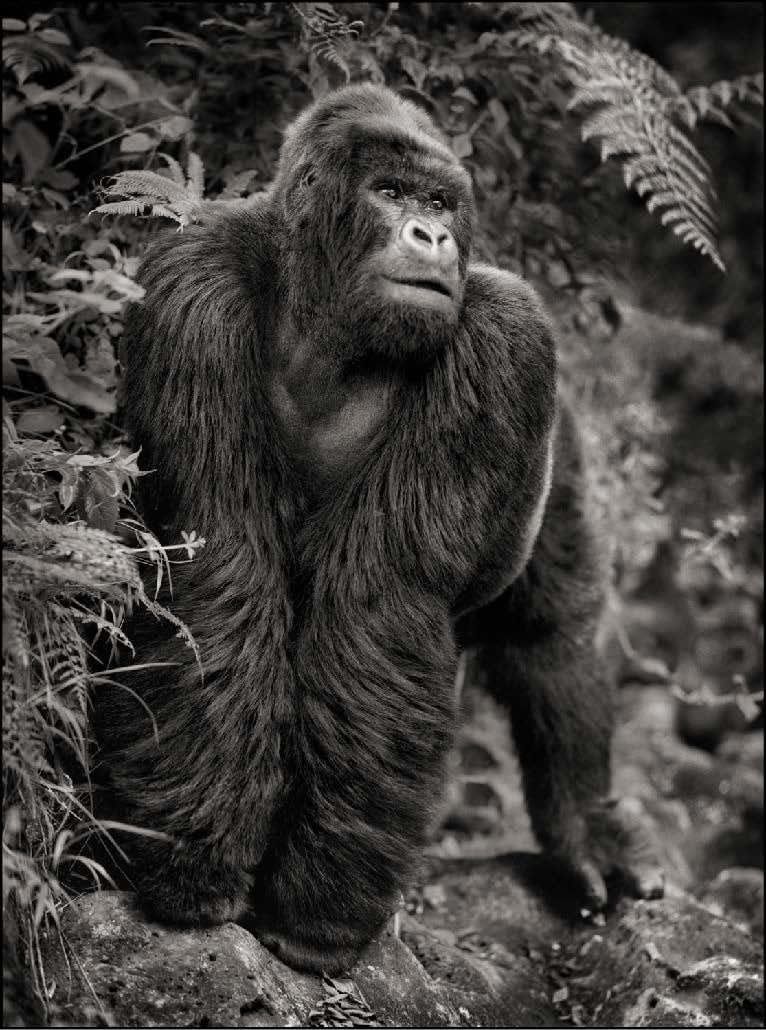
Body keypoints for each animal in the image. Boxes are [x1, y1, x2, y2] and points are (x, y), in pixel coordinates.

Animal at [93, 83, 663, 974]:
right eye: (390, 193)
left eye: (439, 203)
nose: (431, 237)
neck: (325, 320)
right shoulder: (193, 285)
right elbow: (218, 567)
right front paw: (195, 867)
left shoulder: (509, 338)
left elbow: (380, 608)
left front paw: (316, 914)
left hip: (557, 429)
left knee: (551, 632)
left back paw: (584, 819)